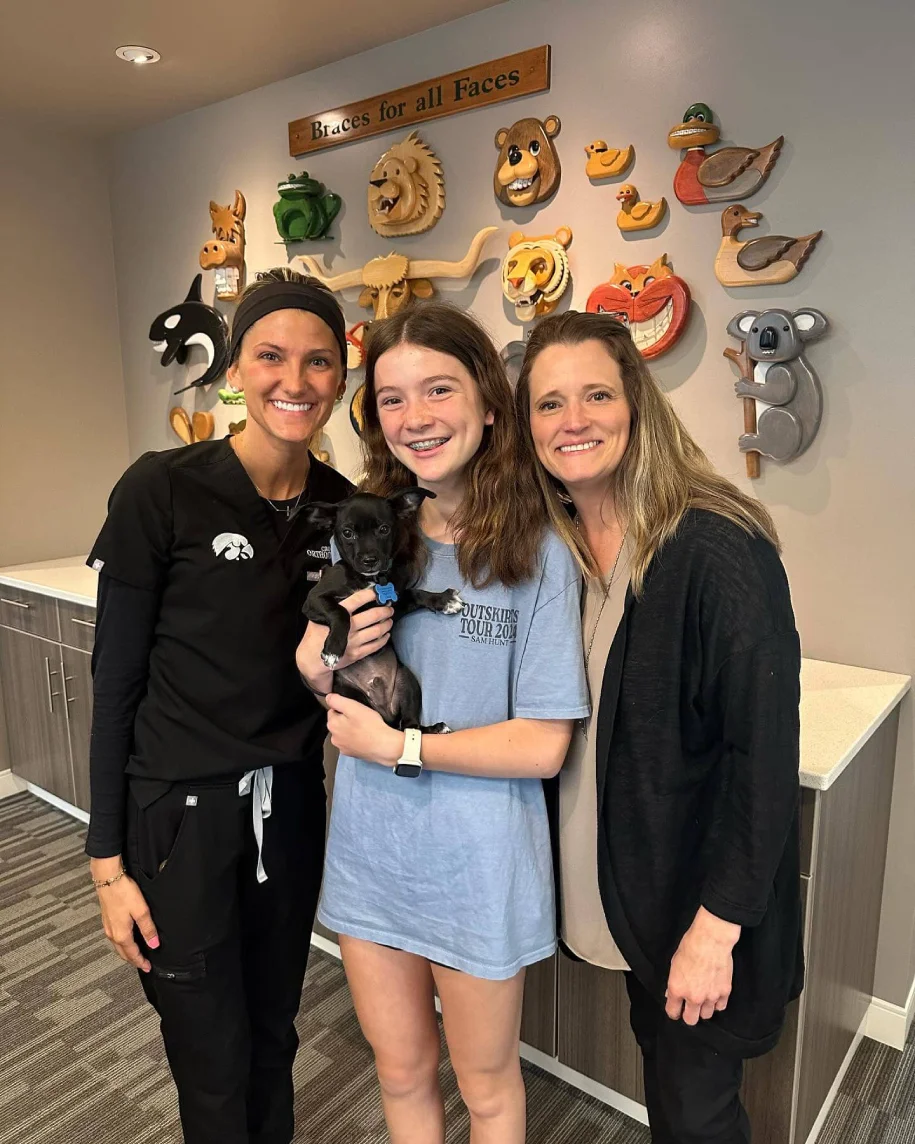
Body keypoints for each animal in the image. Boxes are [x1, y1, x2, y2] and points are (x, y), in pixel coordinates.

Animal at [301, 487, 462, 727]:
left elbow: (417, 593)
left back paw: (436, 728)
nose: (370, 560)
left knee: (410, 726)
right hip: (349, 694)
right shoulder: (313, 600)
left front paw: (444, 600)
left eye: (384, 529)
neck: (371, 580)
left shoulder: (393, 606)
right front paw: (333, 649)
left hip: (407, 682)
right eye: (347, 533)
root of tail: (385, 712)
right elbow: (340, 612)